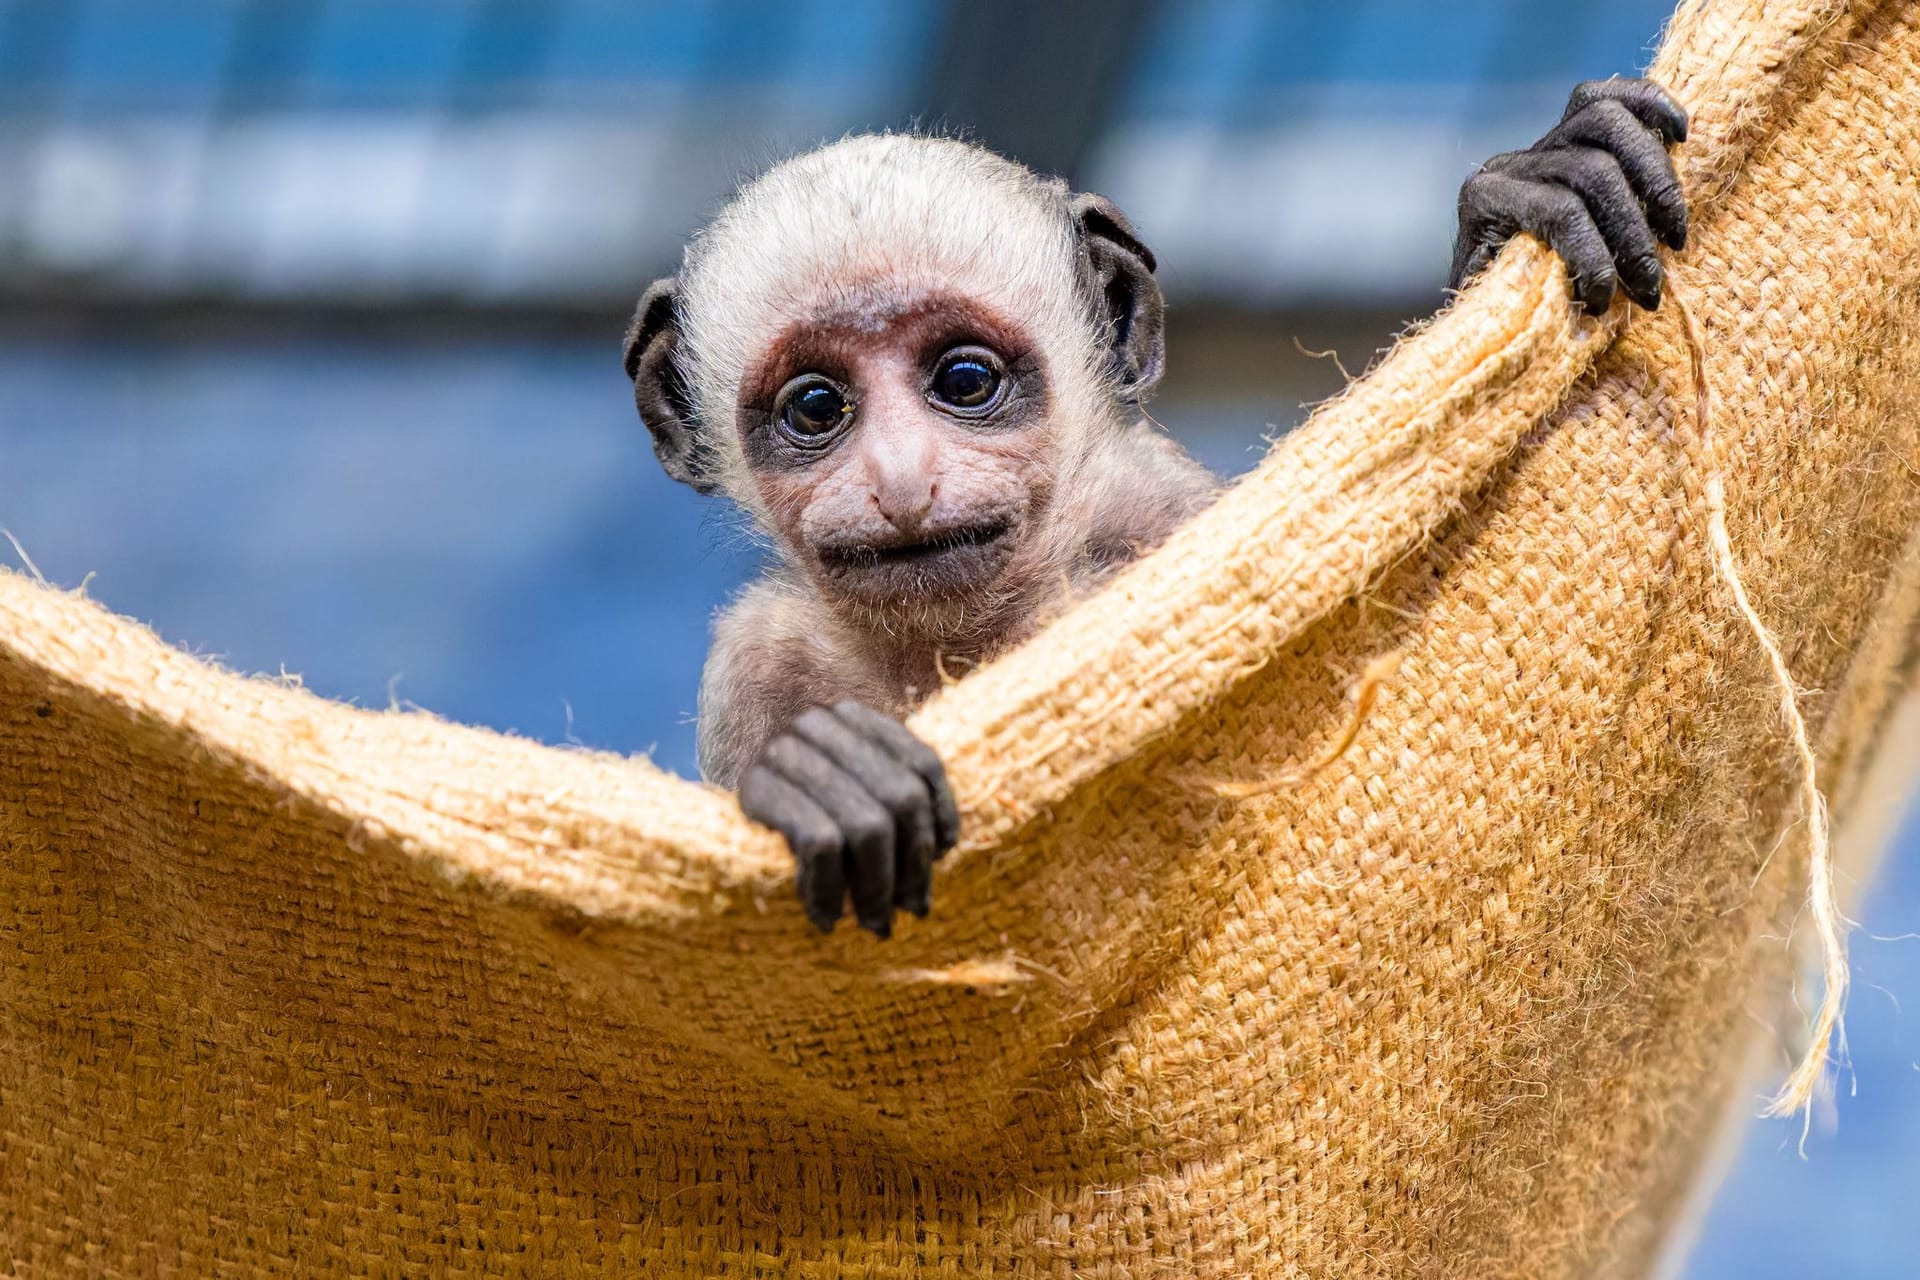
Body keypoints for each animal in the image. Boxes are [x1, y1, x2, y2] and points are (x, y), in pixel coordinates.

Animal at [622, 82, 1689, 940]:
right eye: (816, 408)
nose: (900, 480)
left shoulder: (1164, 510)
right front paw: (821, 778)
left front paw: (1526, 199)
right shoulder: (757, 663)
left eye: (964, 381)